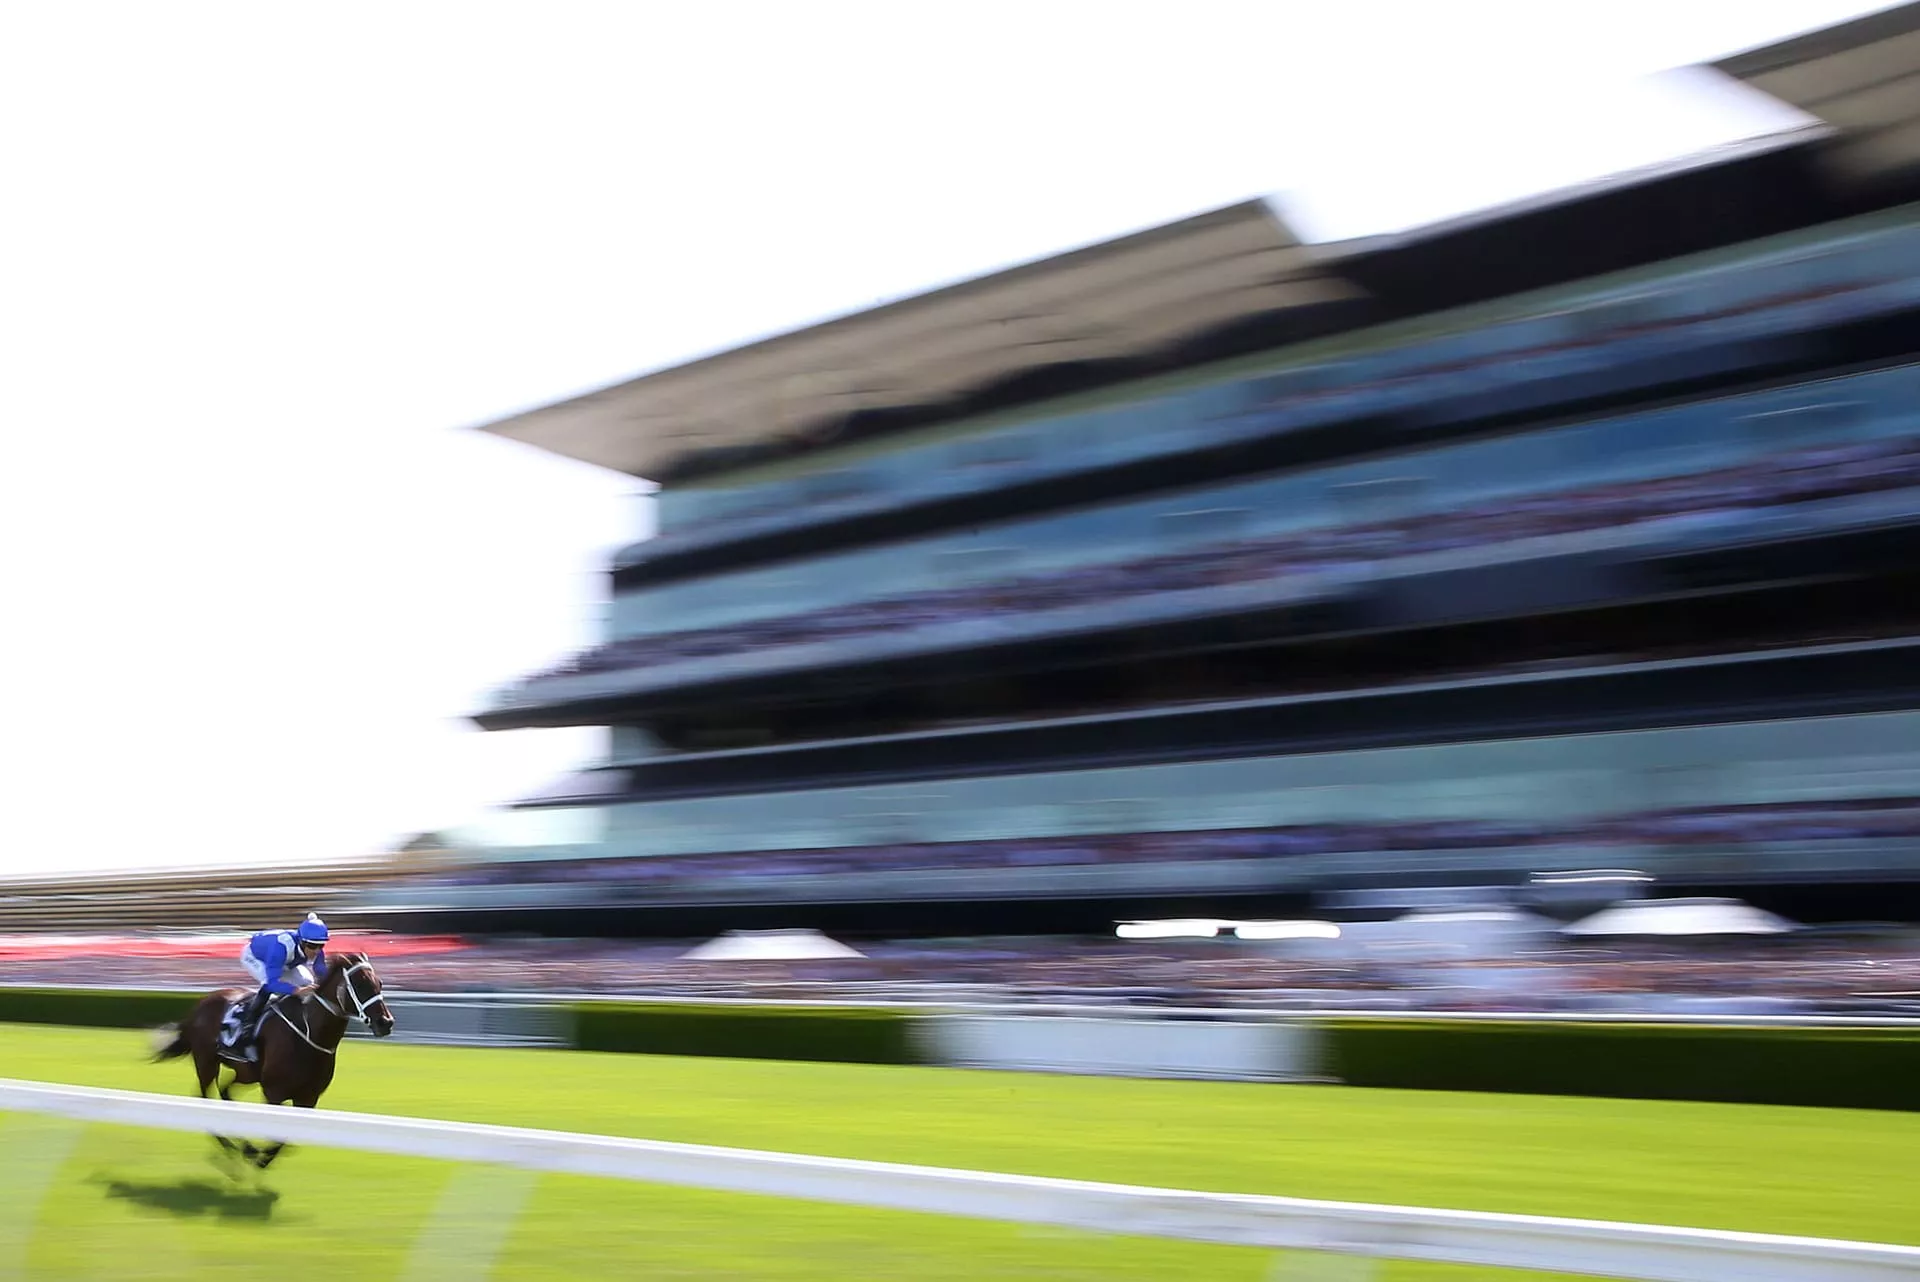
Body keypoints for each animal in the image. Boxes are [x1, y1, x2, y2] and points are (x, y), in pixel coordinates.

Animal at [151, 948, 395, 1166]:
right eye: (361, 984)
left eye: (380, 983)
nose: (386, 1022)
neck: (309, 1034)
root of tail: (200, 1004)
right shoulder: (274, 1093)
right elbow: (276, 1135)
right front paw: (257, 1158)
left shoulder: (308, 1098)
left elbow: (286, 1138)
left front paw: (260, 1156)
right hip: (206, 1062)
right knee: (205, 1097)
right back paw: (232, 1147)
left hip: (246, 1073)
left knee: (226, 1091)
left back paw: (242, 1147)